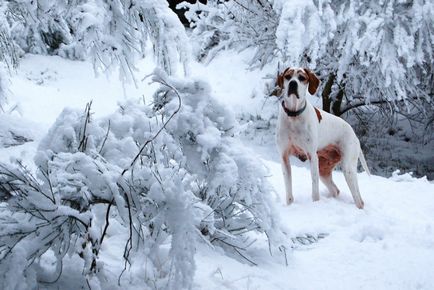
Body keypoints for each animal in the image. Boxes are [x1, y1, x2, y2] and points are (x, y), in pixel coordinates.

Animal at [274, 67, 370, 208]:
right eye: (288, 76)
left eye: (302, 78)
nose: (293, 84)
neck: (294, 115)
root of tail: (354, 135)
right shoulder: (284, 157)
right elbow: (289, 191)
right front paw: (290, 205)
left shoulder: (312, 157)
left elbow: (315, 190)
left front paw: (315, 203)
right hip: (323, 170)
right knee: (335, 190)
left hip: (348, 169)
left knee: (359, 200)